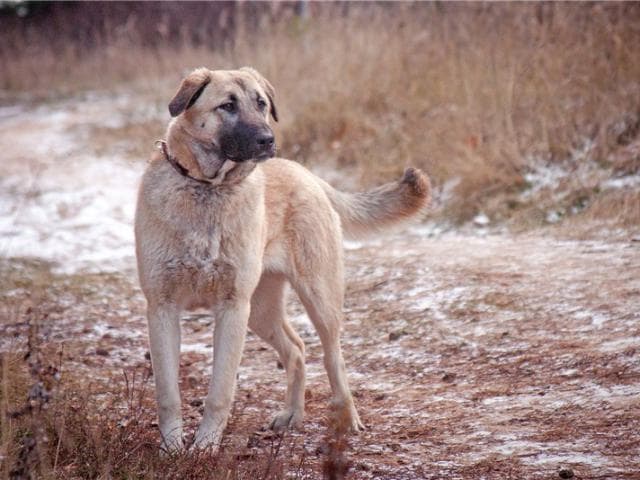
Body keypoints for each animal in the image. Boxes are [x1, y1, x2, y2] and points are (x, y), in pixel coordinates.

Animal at [136, 67, 432, 454]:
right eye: (227, 105)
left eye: (261, 104)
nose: (267, 140)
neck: (208, 188)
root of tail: (305, 173)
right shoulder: (162, 308)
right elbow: (168, 393)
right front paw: (171, 449)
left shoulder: (232, 308)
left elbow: (220, 391)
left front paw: (204, 449)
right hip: (261, 311)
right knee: (296, 350)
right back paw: (293, 415)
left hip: (317, 299)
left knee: (333, 357)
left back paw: (347, 418)